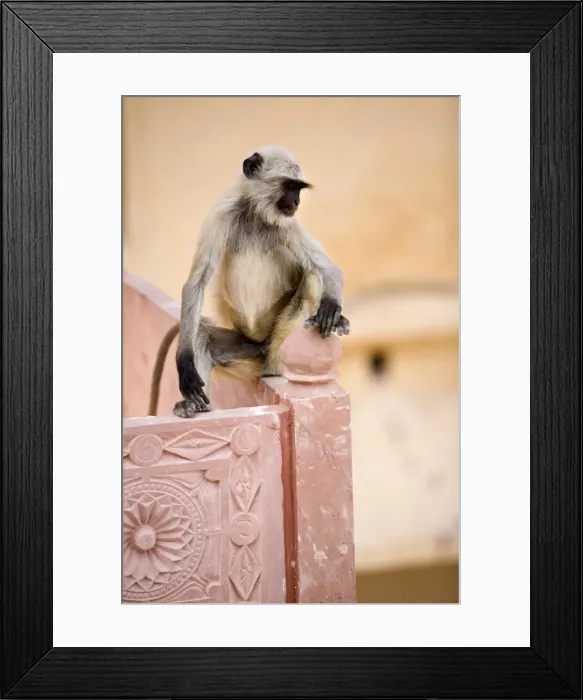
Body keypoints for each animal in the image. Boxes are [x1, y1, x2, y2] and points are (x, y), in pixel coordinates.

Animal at [169, 145, 350, 419]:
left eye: (299, 188)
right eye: (289, 187)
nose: (296, 202)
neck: (255, 214)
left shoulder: (289, 222)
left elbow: (327, 268)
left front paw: (332, 309)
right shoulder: (222, 214)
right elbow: (196, 282)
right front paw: (185, 364)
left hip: (275, 343)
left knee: (311, 276)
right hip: (246, 348)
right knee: (200, 334)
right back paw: (195, 405)